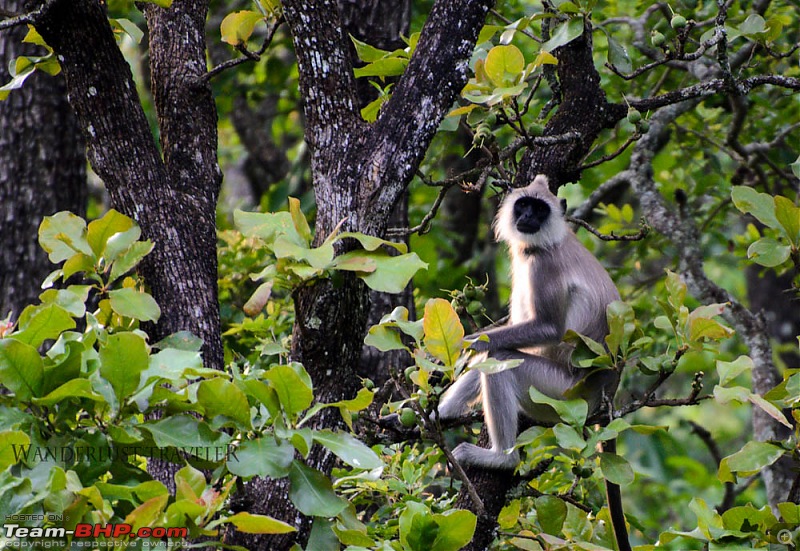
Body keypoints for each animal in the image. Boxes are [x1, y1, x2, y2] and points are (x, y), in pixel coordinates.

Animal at [438, 176, 620, 470]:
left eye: (540, 210)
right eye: (523, 205)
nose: (527, 217)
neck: (548, 242)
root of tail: (608, 390)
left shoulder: (543, 265)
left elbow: (548, 329)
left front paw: (463, 344)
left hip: (561, 394)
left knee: (501, 358)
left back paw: (502, 458)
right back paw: (440, 414)